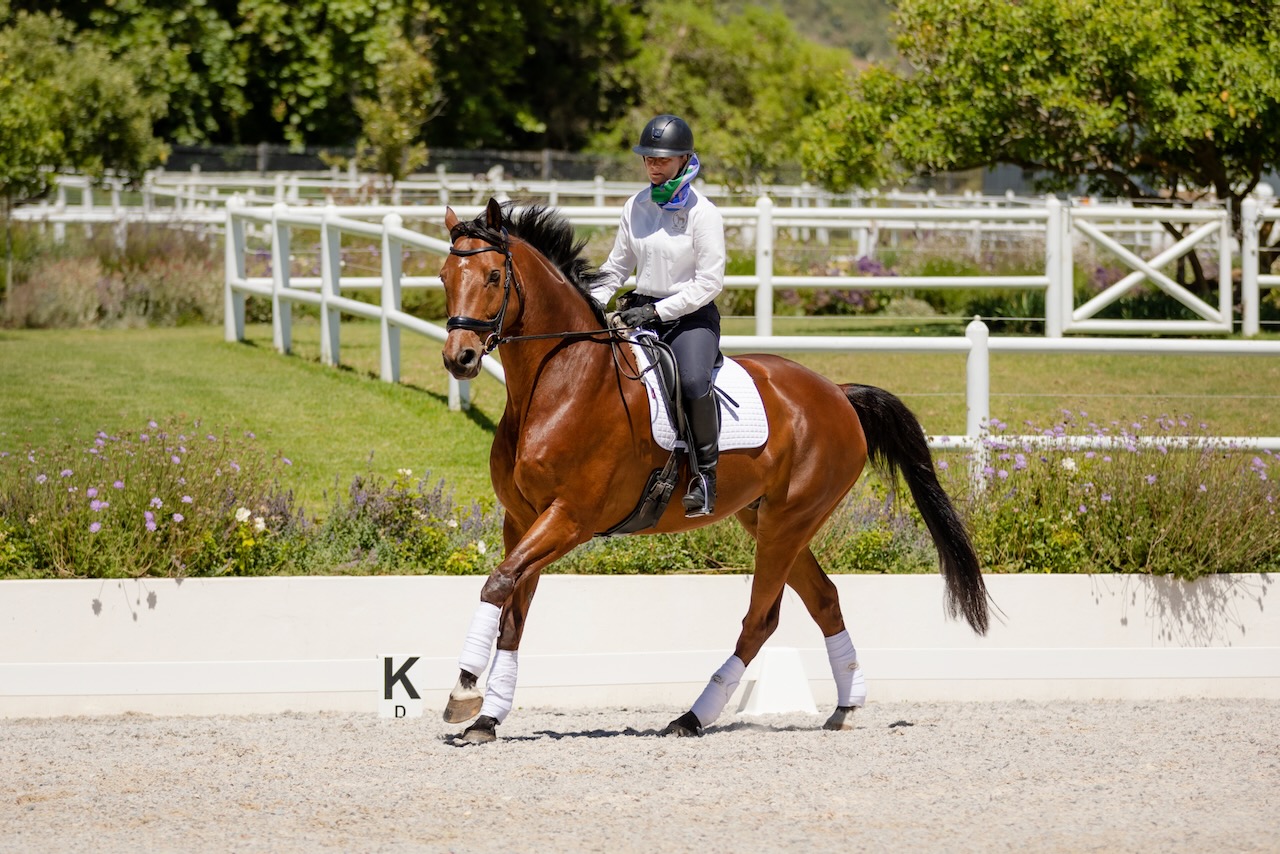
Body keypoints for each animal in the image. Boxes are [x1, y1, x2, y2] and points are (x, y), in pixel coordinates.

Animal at [439, 198, 990, 743]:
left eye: (493, 276)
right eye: (445, 276)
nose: (459, 358)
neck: (561, 384)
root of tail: (838, 392)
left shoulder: (569, 518)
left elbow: (497, 583)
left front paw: (463, 692)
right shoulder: (521, 520)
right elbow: (512, 610)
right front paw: (488, 716)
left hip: (787, 524)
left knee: (761, 619)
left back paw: (692, 717)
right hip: (769, 521)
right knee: (824, 600)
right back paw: (846, 705)